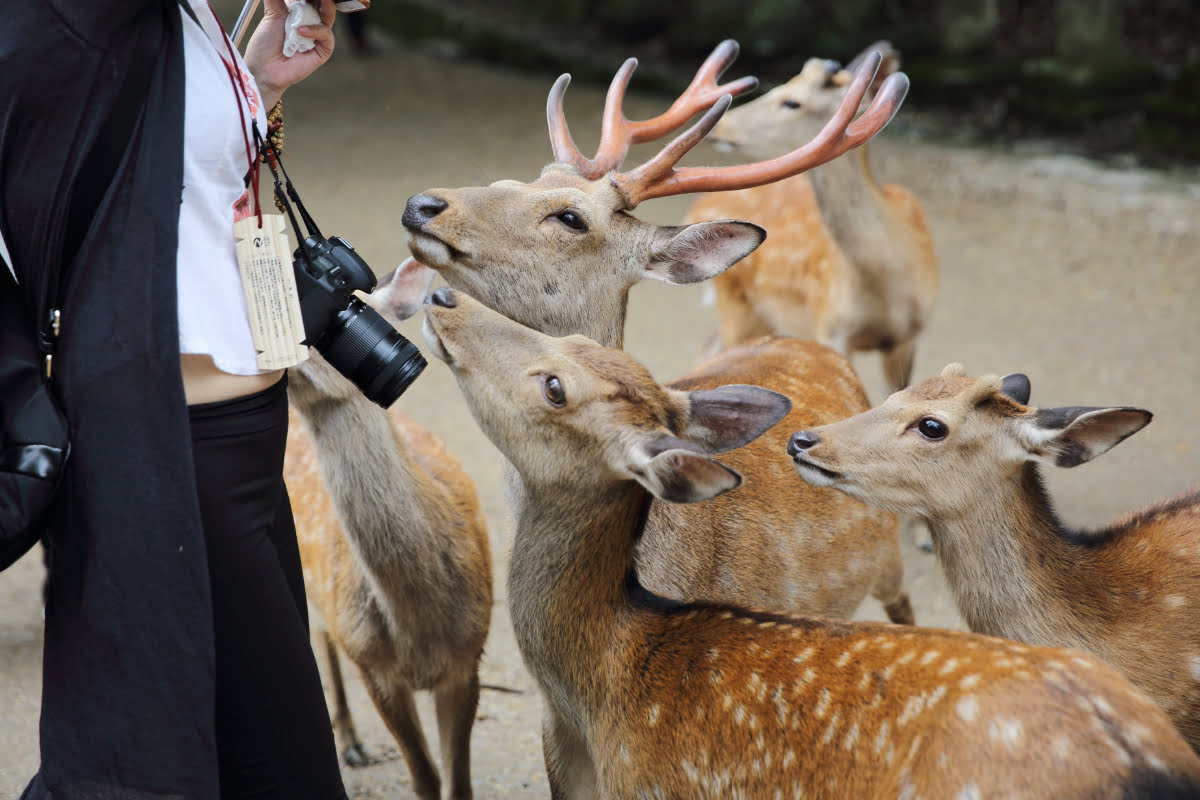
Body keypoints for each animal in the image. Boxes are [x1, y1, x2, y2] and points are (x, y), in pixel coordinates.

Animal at [686, 40, 936, 398]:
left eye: (792, 102)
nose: (721, 124)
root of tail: (697, 206)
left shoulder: (909, 336)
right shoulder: (830, 325)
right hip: (735, 300)